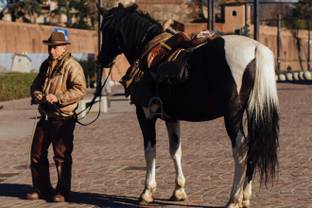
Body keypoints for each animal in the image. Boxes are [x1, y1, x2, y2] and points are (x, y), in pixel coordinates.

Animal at [98, 4, 280, 207]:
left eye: (105, 30)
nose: (102, 59)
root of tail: (256, 48)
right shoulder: (172, 117)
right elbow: (175, 151)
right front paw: (178, 190)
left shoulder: (145, 115)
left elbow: (150, 151)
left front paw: (147, 191)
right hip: (253, 111)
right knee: (253, 148)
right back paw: (246, 196)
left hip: (232, 115)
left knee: (240, 151)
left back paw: (233, 198)